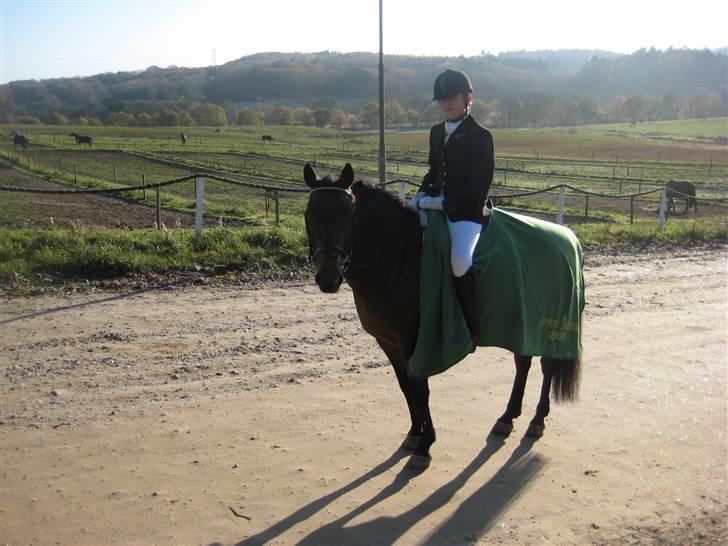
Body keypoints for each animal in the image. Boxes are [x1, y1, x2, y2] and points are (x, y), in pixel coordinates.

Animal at [304, 163, 583, 471]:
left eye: (349, 214)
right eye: (309, 213)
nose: (329, 279)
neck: (398, 256)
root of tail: (568, 237)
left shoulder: (414, 341)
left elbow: (420, 389)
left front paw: (425, 446)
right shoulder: (388, 341)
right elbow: (405, 386)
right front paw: (414, 434)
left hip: (548, 323)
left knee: (547, 366)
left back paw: (536, 420)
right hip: (521, 322)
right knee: (523, 364)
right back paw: (507, 418)